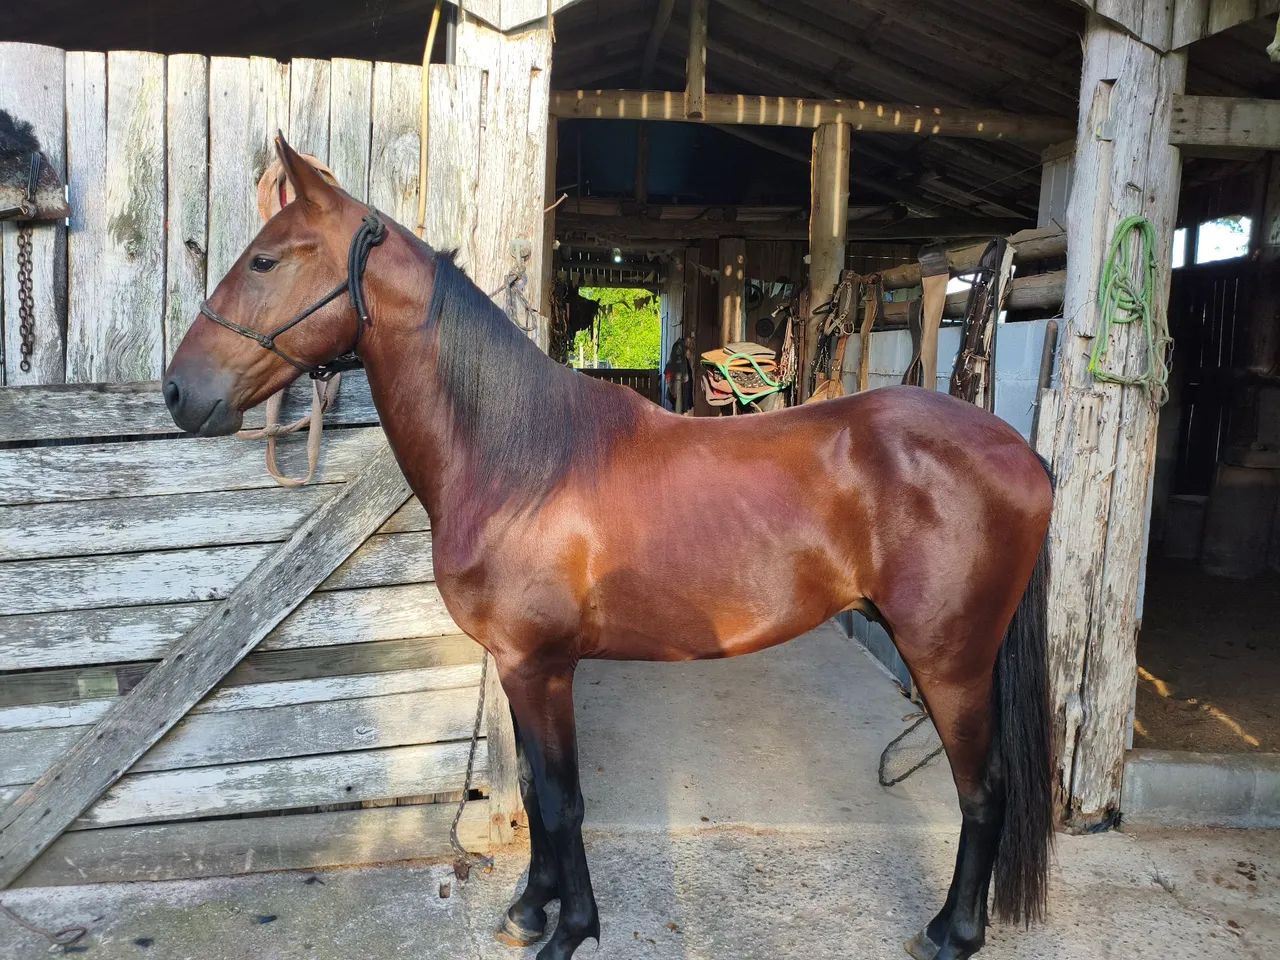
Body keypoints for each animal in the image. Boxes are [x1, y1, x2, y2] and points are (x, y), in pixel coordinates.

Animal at [164, 136, 1055, 960]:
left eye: (265, 258)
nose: (178, 392)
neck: (519, 460)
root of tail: (1019, 450)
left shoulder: (541, 666)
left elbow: (562, 803)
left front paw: (570, 930)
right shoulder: (520, 667)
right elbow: (533, 788)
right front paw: (530, 910)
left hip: (949, 659)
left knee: (984, 791)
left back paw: (952, 934)